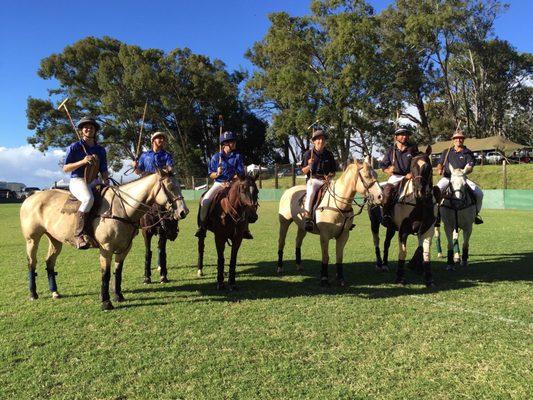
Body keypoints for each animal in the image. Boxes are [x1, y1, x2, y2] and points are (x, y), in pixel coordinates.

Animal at [19, 169, 188, 310]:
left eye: (180, 186)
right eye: (169, 186)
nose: (183, 212)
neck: (123, 209)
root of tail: (31, 196)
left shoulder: (125, 248)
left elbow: (118, 272)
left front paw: (118, 296)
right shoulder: (106, 248)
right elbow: (105, 274)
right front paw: (106, 302)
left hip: (55, 239)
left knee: (49, 261)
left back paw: (55, 292)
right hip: (32, 239)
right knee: (31, 262)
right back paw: (33, 294)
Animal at [276, 158, 384, 286]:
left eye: (376, 175)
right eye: (367, 176)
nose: (381, 197)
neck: (339, 205)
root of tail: (288, 190)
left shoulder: (344, 235)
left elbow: (339, 257)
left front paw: (340, 278)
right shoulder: (324, 235)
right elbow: (325, 257)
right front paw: (324, 278)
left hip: (302, 226)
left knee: (298, 241)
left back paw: (299, 265)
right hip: (284, 222)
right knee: (281, 242)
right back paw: (280, 267)